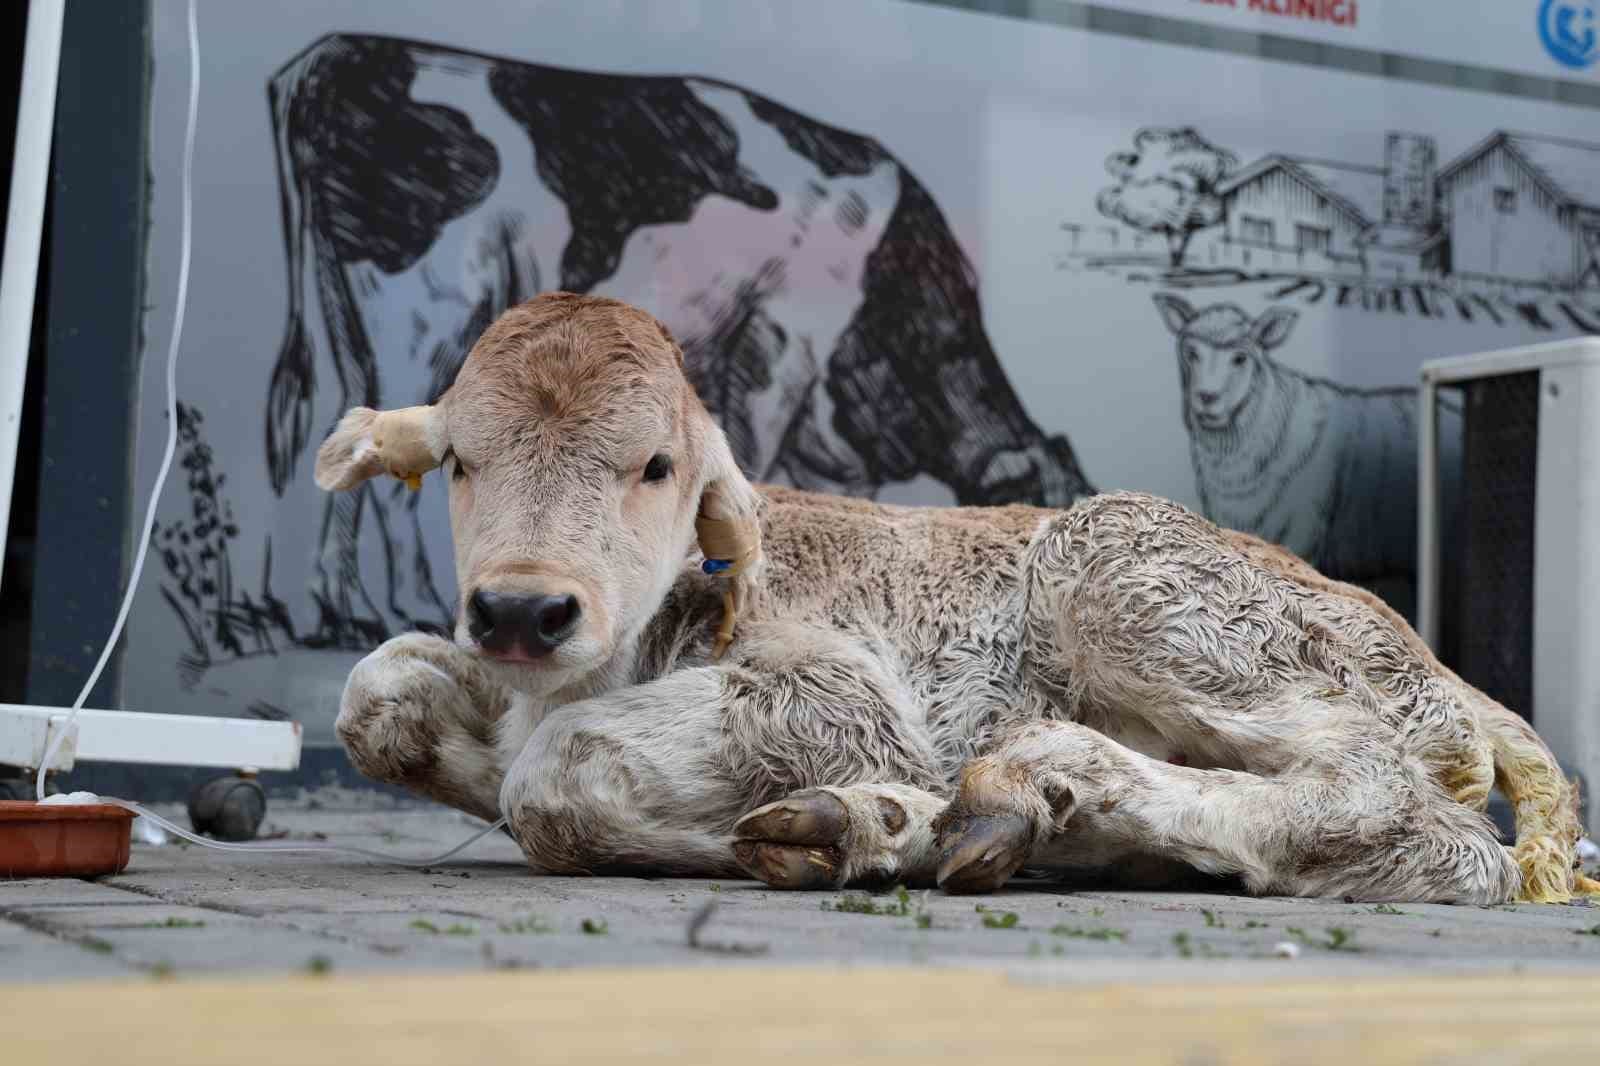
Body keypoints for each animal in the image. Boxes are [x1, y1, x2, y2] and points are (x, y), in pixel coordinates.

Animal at [318, 292, 1593, 902]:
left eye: (655, 466)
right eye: (462, 461)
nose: (521, 611)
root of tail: (1445, 674)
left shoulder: (837, 696)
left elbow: (552, 771)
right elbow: (376, 692)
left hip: (1130, 567)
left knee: (1418, 818)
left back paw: (1026, 785)